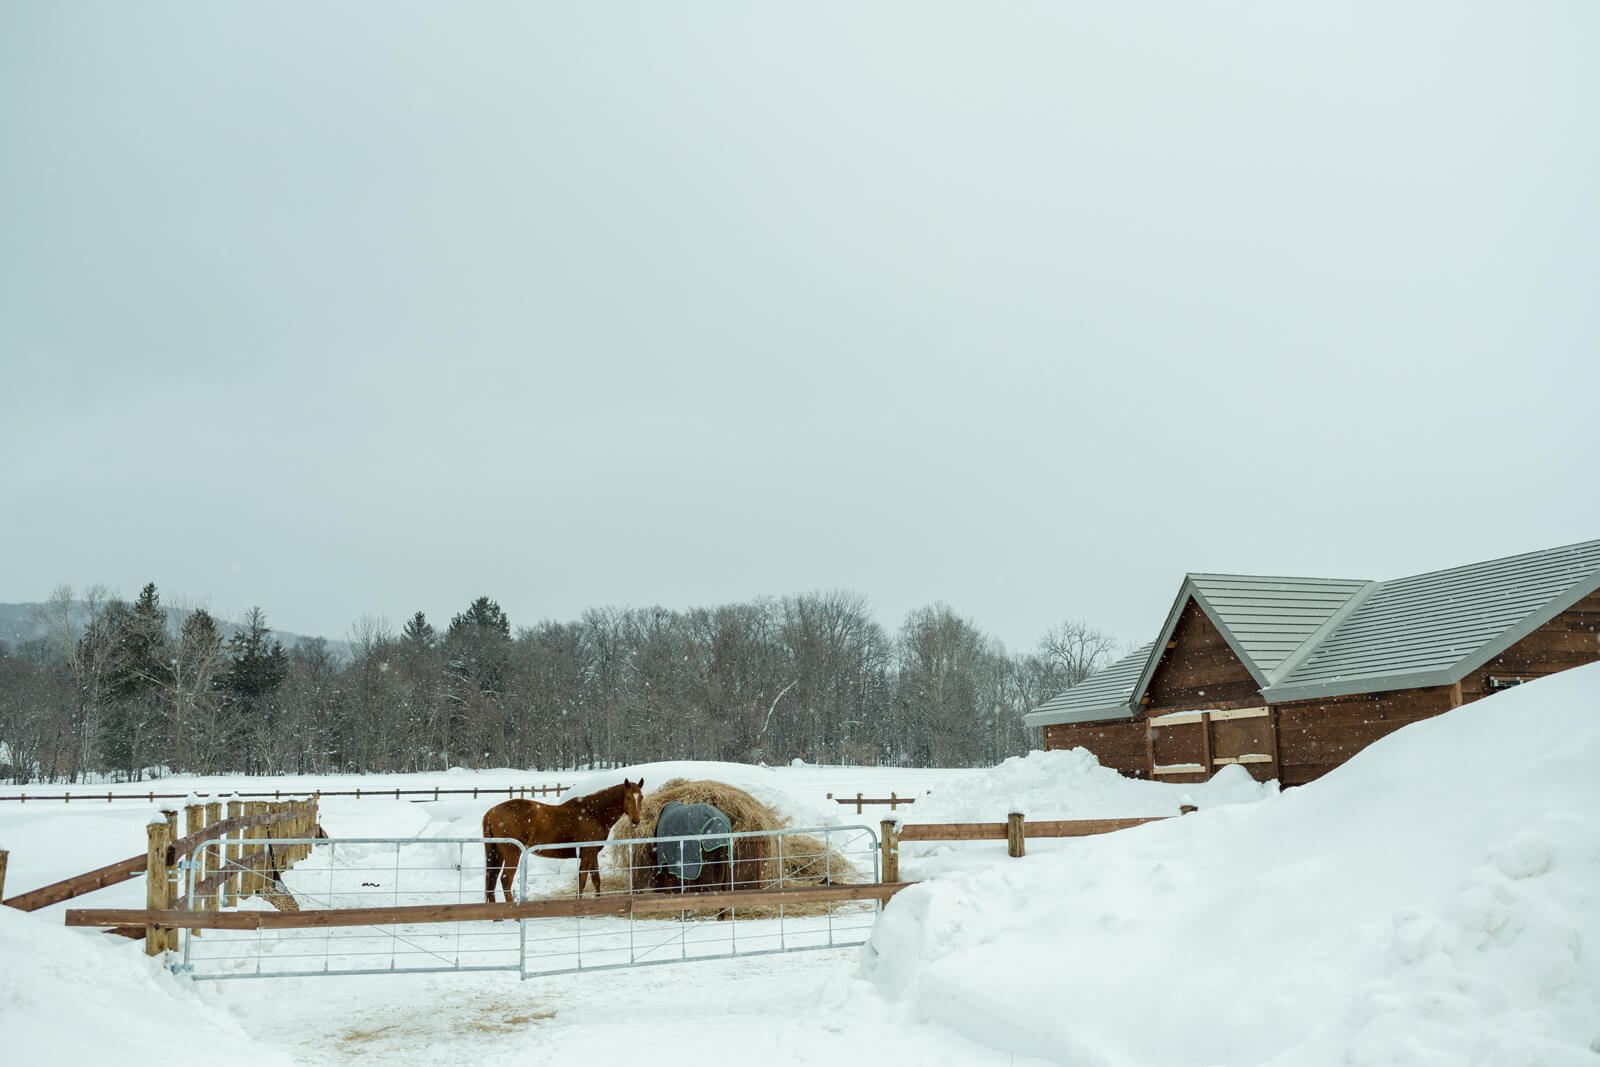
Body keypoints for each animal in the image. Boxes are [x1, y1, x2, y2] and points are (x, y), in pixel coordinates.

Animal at [480, 777, 643, 902]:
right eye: (628, 797)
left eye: (640, 797)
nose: (636, 821)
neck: (593, 813)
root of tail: (491, 813)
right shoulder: (587, 854)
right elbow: (582, 881)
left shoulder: (592, 854)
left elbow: (596, 879)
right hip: (512, 853)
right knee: (505, 879)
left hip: (497, 854)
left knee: (492, 879)